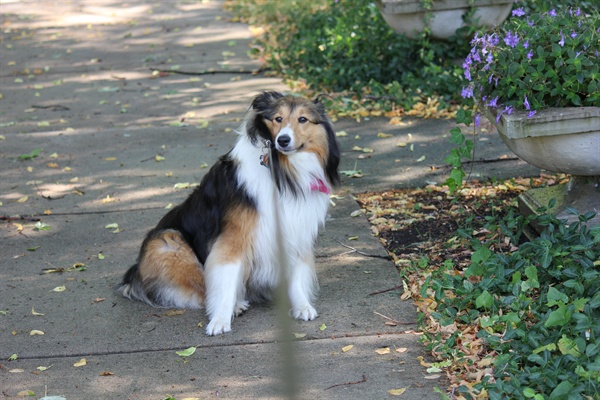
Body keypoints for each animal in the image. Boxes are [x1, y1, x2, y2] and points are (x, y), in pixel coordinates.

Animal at [119, 90, 340, 334]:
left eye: (303, 119)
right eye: (278, 119)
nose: (283, 140)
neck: (282, 170)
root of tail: (133, 274)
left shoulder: (295, 231)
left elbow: (296, 275)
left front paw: (302, 305)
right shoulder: (234, 238)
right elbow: (225, 277)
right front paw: (220, 319)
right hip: (167, 241)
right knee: (202, 289)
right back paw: (235, 305)